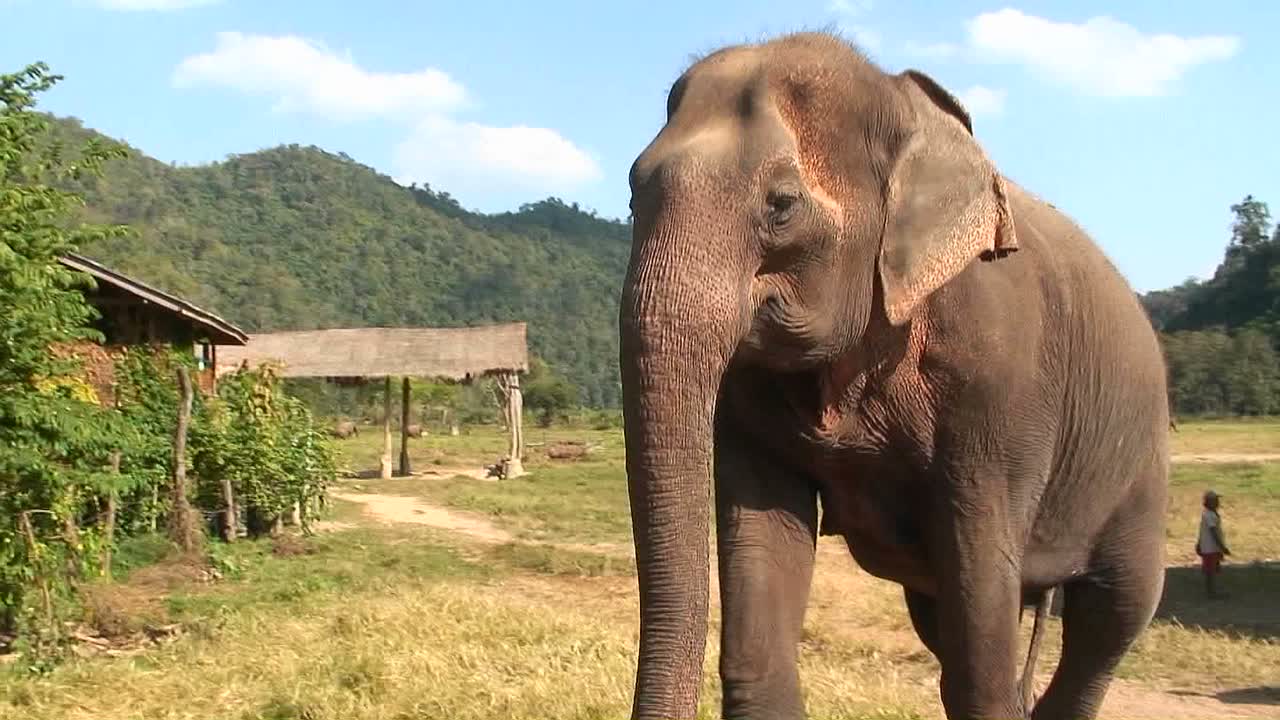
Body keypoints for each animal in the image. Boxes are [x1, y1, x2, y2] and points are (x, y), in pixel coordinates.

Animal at [618, 32, 1170, 720]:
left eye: (781, 205)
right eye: (633, 194)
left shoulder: (1000, 379)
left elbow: (980, 594)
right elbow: (765, 541)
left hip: (1140, 462)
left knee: (1115, 612)